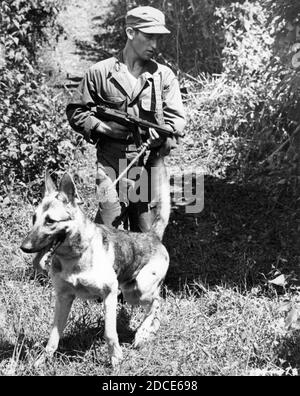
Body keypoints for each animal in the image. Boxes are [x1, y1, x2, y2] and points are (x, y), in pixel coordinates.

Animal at [21, 168, 170, 368]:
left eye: (50, 221)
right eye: (34, 218)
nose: (24, 247)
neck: (75, 257)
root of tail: (152, 236)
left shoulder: (109, 294)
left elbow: (110, 333)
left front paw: (116, 359)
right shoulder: (63, 298)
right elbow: (53, 337)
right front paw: (42, 361)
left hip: (139, 290)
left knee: (157, 303)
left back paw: (143, 333)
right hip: (131, 292)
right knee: (155, 305)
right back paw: (148, 331)